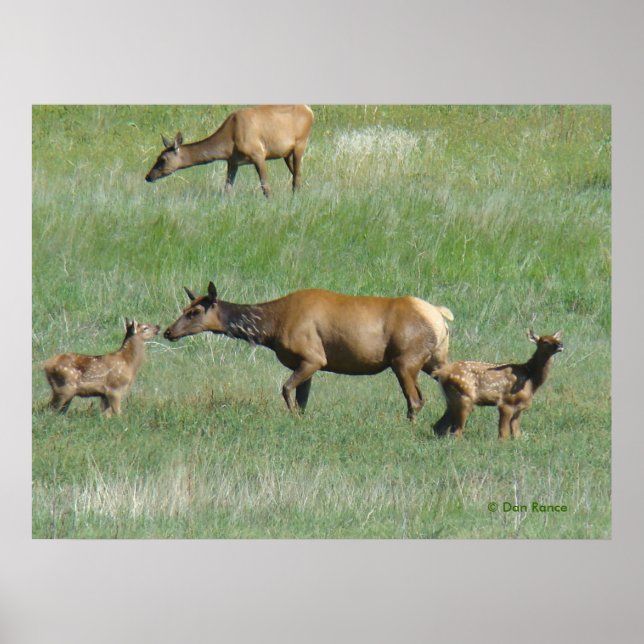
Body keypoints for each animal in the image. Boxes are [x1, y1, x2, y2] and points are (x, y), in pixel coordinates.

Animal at [145, 105, 314, 197]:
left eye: (163, 159)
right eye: (157, 156)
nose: (148, 176)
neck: (228, 144)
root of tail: (310, 111)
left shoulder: (258, 154)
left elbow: (266, 186)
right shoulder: (233, 161)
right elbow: (227, 189)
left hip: (301, 143)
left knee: (297, 177)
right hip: (287, 153)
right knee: (296, 175)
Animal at [164, 282, 454, 420]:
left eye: (194, 312)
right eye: (184, 308)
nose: (168, 331)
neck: (271, 328)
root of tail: (440, 316)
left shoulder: (314, 357)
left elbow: (286, 389)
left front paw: (292, 417)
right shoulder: (305, 363)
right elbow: (302, 400)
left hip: (404, 360)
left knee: (415, 399)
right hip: (434, 359)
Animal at [432, 330, 564, 439]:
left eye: (555, 338)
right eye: (545, 341)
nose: (561, 344)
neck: (530, 379)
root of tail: (442, 373)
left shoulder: (519, 407)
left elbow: (517, 434)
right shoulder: (506, 402)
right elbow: (503, 434)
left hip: (451, 400)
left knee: (439, 426)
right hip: (464, 396)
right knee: (456, 431)